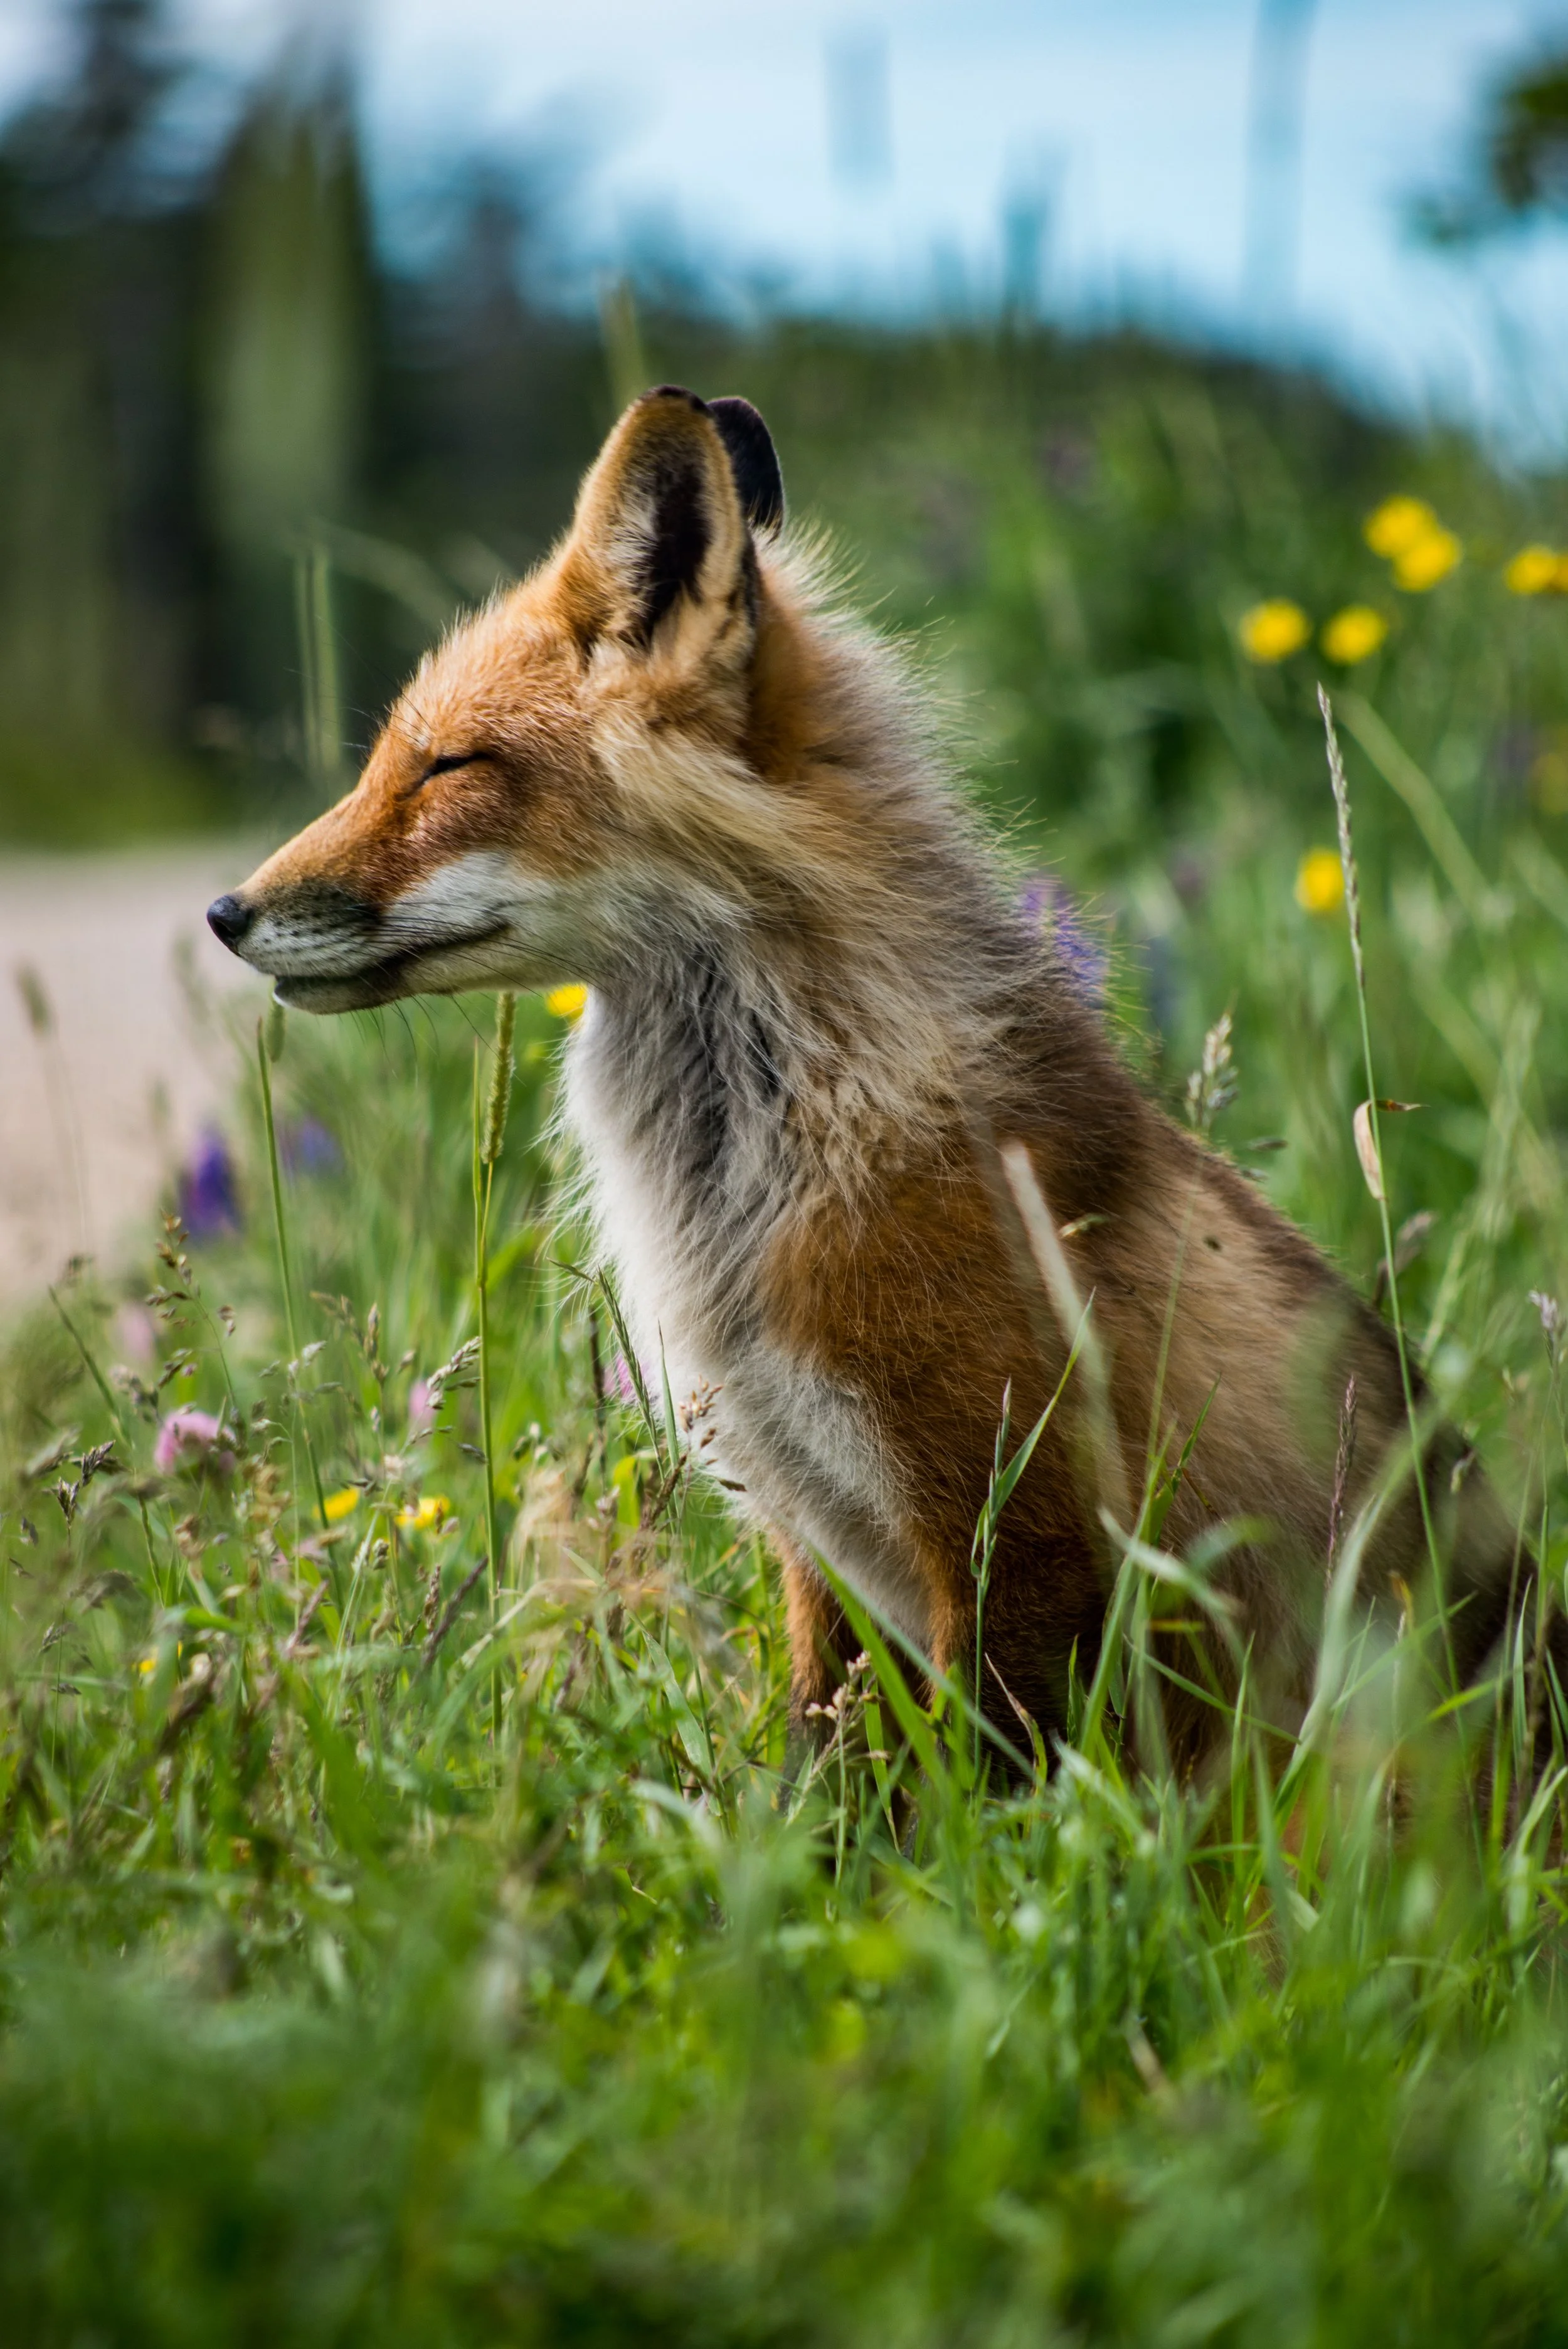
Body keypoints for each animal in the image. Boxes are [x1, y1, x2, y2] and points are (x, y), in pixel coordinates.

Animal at [208, 383, 1537, 1772]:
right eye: (388, 760)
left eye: (448, 767)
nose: (224, 914)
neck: (775, 1172)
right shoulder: (824, 1552)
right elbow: (826, 1783)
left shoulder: (1021, 1526)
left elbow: (988, 1791)